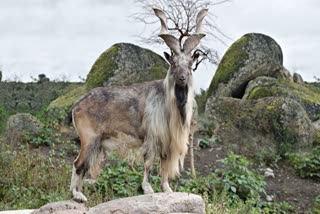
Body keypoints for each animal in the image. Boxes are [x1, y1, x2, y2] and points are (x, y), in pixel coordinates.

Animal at [69, 8, 208, 202]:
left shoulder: (167, 142)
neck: (169, 103)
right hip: (89, 139)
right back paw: (78, 195)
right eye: (173, 63)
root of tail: (77, 106)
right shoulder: (152, 137)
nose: (182, 78)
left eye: (189, 64)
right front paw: (148, 189)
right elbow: (149, 163)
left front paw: (167, 189)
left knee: (83, 165)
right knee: (78, 164)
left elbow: (164, 165)